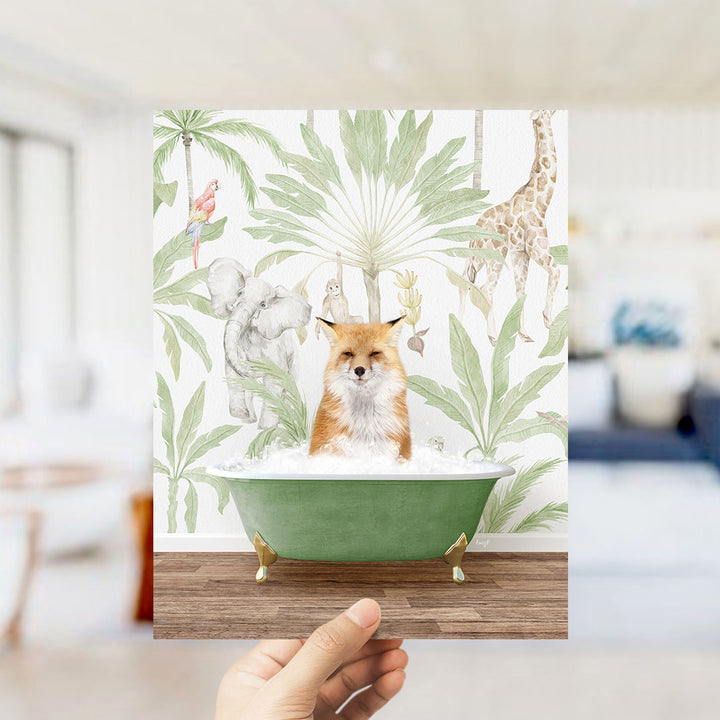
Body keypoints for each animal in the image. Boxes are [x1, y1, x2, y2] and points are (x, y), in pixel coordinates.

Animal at [461, 110, 560, 345]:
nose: (557, 109)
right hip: (495, 256)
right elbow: (557, 271)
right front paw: (548, 319)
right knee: (486, 289)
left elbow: (521, 292)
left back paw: (459, 323)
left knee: (463, 282)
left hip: (477, 258)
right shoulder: (538, 249)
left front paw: (525, 334)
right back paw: (492, 337)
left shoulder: (520, 254)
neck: (542, 201)